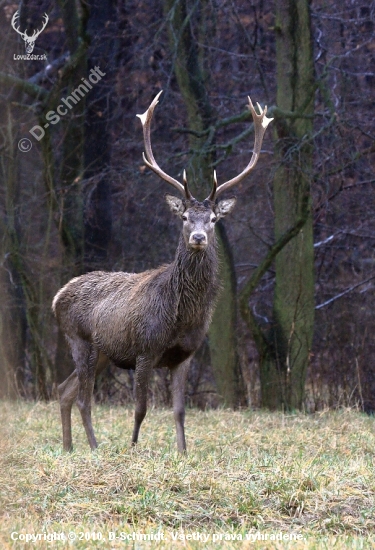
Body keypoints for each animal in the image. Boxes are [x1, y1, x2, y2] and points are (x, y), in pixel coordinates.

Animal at [52, 91, 274, 452]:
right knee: (83, 398)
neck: (180, 315)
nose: (198, 237)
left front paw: (182, 452)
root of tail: (56, 297)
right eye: (184, 217)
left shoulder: (185, 354)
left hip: (103, 352)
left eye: (213, 219)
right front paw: (133, 447)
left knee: (64, 390)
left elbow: (180, 410)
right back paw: (94, 447)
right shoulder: (145, 349)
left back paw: (70, 447)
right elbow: (140, 408)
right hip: (79, 339)